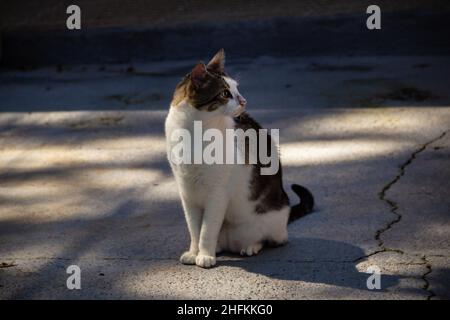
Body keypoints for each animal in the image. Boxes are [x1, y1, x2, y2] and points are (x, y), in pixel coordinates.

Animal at [163, 48, 314, 268]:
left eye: (237, 90)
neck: (194, 132)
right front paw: (194, 252)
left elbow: (207, 229)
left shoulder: (217, 193)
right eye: (225, 94)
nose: (244, 101)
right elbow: (194, 229)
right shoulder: (187, 192)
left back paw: (250, 246)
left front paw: (205, 255)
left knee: (268, 239)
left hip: (268, 222)